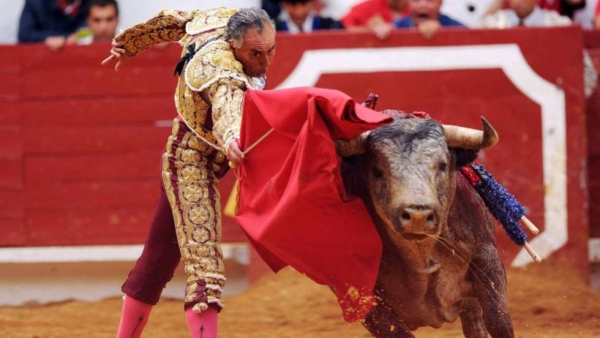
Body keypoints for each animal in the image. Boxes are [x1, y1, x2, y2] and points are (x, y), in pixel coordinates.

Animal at [338, 111, 516, 338]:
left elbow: (499, 322)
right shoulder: (365, 301)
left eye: (442, 165)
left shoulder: (487, 260)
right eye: (377, 171)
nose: (418, 215)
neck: (420, 256)